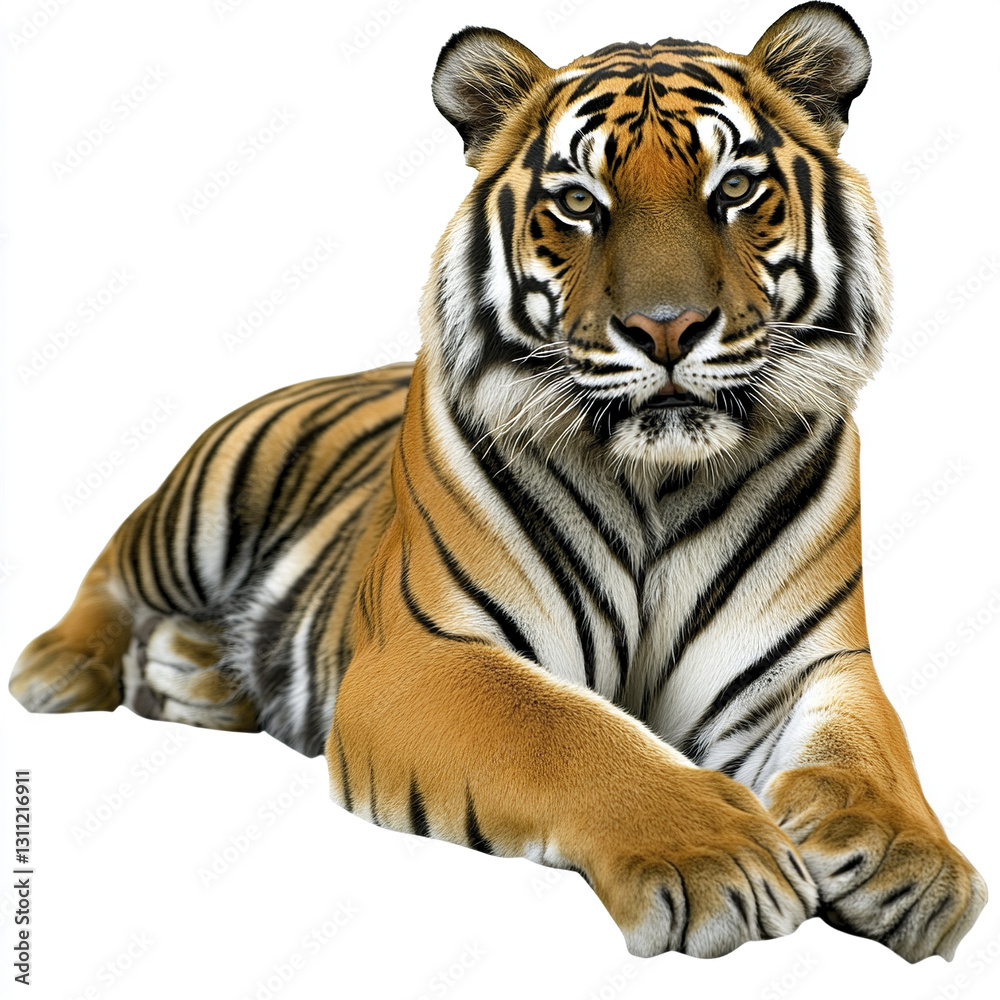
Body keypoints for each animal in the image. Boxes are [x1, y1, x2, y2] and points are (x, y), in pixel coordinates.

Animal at [9, 1, 986, 962]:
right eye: (579, 202)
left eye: (735, 191)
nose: (666, 328)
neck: (654, 480)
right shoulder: (428, 654)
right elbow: (570, 733)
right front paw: (718, 858)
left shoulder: (808, 664)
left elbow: (870, 753)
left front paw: (914, 864)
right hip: (208, 495)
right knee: (113, 565)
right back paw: (61, 670)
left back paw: (196, 669)